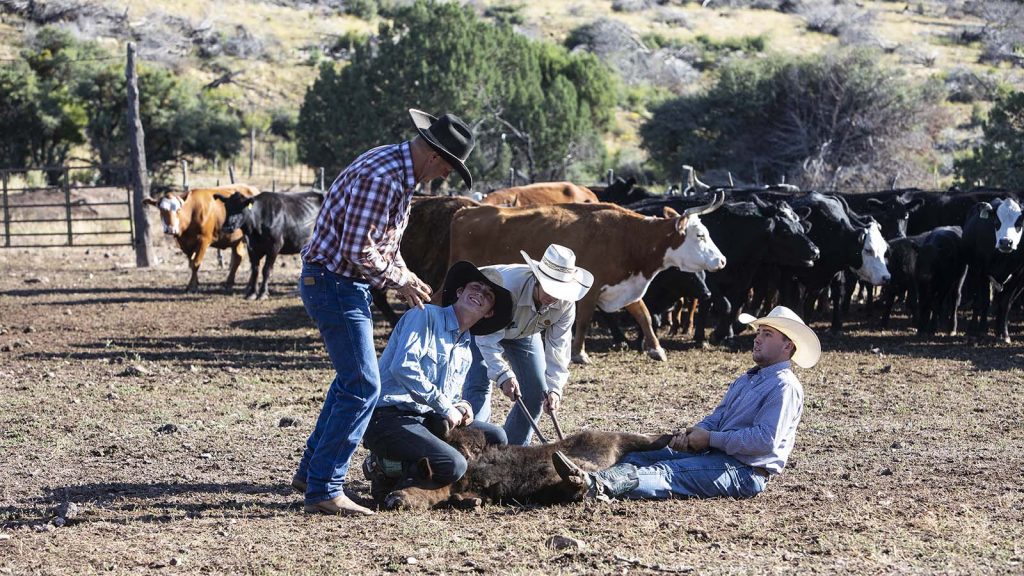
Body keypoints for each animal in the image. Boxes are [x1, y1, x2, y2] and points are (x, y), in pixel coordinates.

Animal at [379, 427, 673, 511]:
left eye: (409, 479)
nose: (390, 498)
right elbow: (467, 498)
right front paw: (472, 502)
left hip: (613, 438)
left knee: (643, 438)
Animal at [448, 194, 727, 364]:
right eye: (700, 235)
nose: (722, 261)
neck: (628, 237)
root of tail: (465, 213)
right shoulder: (591, 291)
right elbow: (583, 321)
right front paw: (579, 353)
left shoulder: (622, 287)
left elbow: (644, 316)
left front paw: (656, 349)